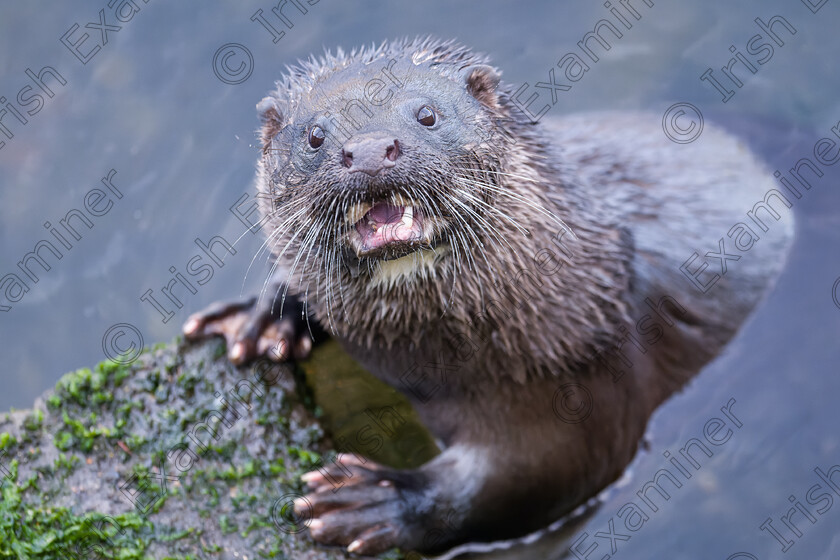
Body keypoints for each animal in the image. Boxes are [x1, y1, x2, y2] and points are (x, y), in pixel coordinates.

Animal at [182, 39, 796, 556]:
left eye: (427, 114)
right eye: (315, 136)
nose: (371, 149)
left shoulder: (584, 382)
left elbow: (538, 476)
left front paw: (376, 501)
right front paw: (262, 319)